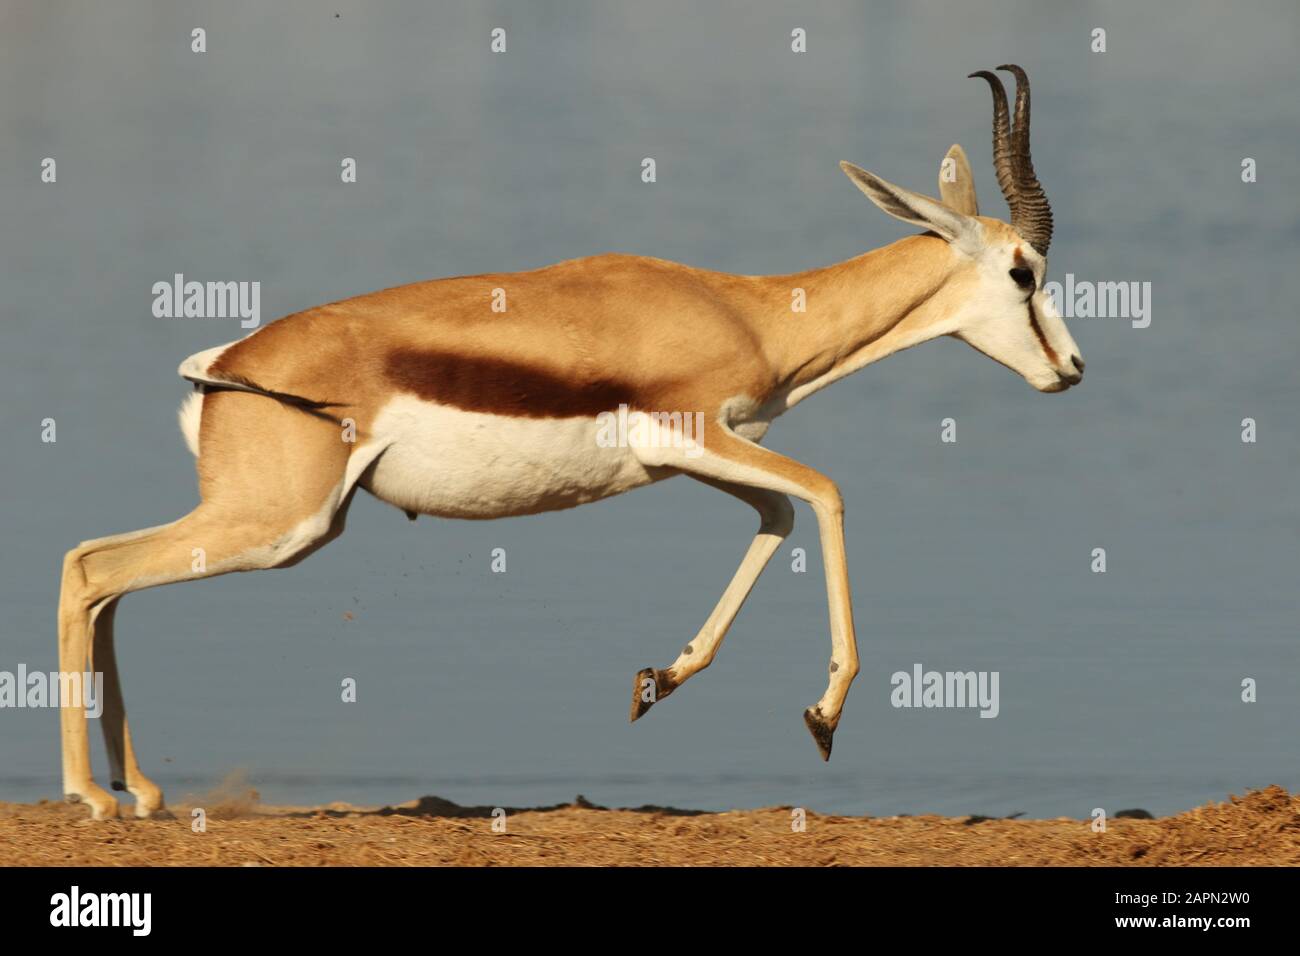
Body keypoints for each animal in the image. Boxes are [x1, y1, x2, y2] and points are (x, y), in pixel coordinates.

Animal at [58, 65, 1082, 820]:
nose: (1070, 368)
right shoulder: (700, 436)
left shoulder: (693, 457)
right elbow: (825, 494)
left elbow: (780, 518)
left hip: (275, 525)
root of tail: (223, 361)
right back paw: (93, 798)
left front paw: (658, 679)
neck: (748, 312)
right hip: (280, 526)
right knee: (90, 568)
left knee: (102, 576)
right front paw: (822, 716)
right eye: (1023, 271)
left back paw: (138, 790)